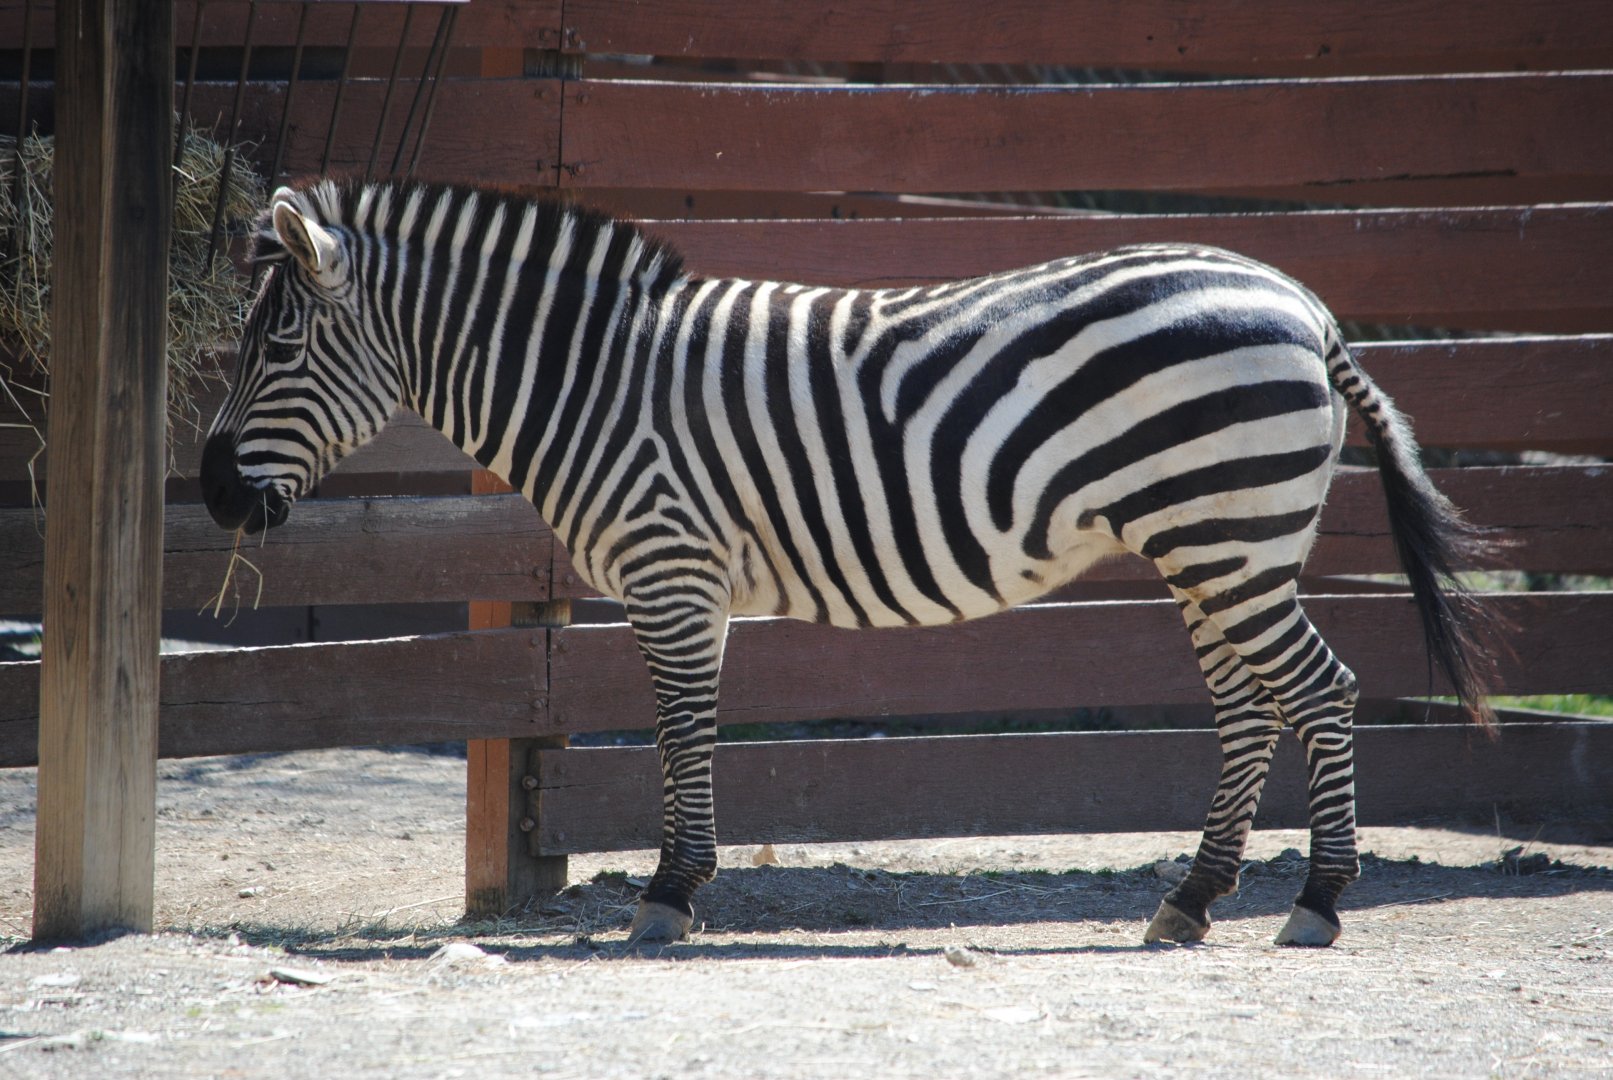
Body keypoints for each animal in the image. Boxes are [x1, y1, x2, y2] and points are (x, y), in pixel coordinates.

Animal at [202, 178, 1494, 948]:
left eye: (275, 345)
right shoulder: (693, 582)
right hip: (1211, 545)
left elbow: (679, 728)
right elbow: (690, 729)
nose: (212, 491)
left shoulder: (672, 565)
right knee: (1246, 704)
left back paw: (1316, 903)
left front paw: (668, 895)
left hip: (1226, 538)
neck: (594, 384)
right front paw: (681, 885)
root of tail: (1300, 305)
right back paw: (1188, 900)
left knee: (1316, 691)